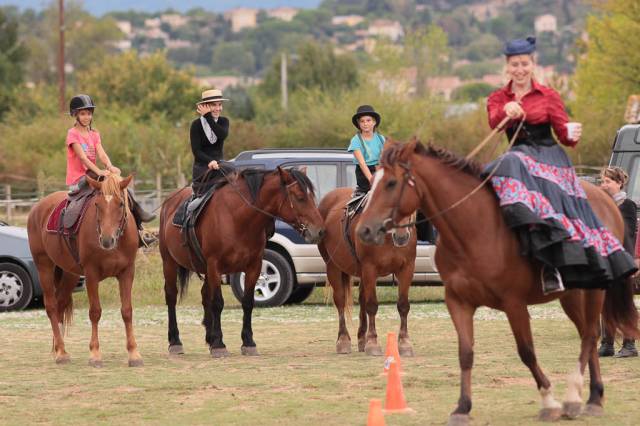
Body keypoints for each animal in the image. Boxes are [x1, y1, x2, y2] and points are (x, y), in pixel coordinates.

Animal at [27, 173, 141, 366]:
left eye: (120, 203)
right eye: (97, 204)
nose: (107, 240)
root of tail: (38, 208)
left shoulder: (127, 272)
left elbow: (127, 311)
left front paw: (134, 353)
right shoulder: (91, 274)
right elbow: (95, 312)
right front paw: (95, 354)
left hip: (69, 275)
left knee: (60, 305)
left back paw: (60, 349)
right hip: (44, 266)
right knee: (51, 307)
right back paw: (60, 352)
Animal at [158, 166, 328, 356]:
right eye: (299, 197)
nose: (320, 231)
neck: (236, 218)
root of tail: (169, 202)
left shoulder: (253, 266)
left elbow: (247, 302)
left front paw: (248, 342)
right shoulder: (215, 266)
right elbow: (217, 303)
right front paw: (219, 344)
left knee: (204, 296)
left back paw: (209, 337)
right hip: (169, 263)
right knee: (171, 296)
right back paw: (175, 341)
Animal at [318, 189, 418, 356]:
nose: (402, 236)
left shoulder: (407, 268)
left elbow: (403, 305)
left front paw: (404, 343)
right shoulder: (370, 268)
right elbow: (372, 305)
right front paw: (372, 342)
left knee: (362, 299)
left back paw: (361, 339)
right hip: (332, 266)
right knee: (340, 300)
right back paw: (343, 340)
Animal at [358, 140, 636, 422]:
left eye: (391, 183)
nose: (364, 230)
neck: (475, 230)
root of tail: (606, 199)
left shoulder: (514, 304)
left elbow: (526, 351)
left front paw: (549, 402)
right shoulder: (458, 302)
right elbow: (465, 354)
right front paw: (462, 407)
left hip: (595, 290)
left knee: (590, 335)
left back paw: (574, 398)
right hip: (571, 294)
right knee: (586, 335)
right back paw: (593, 397)